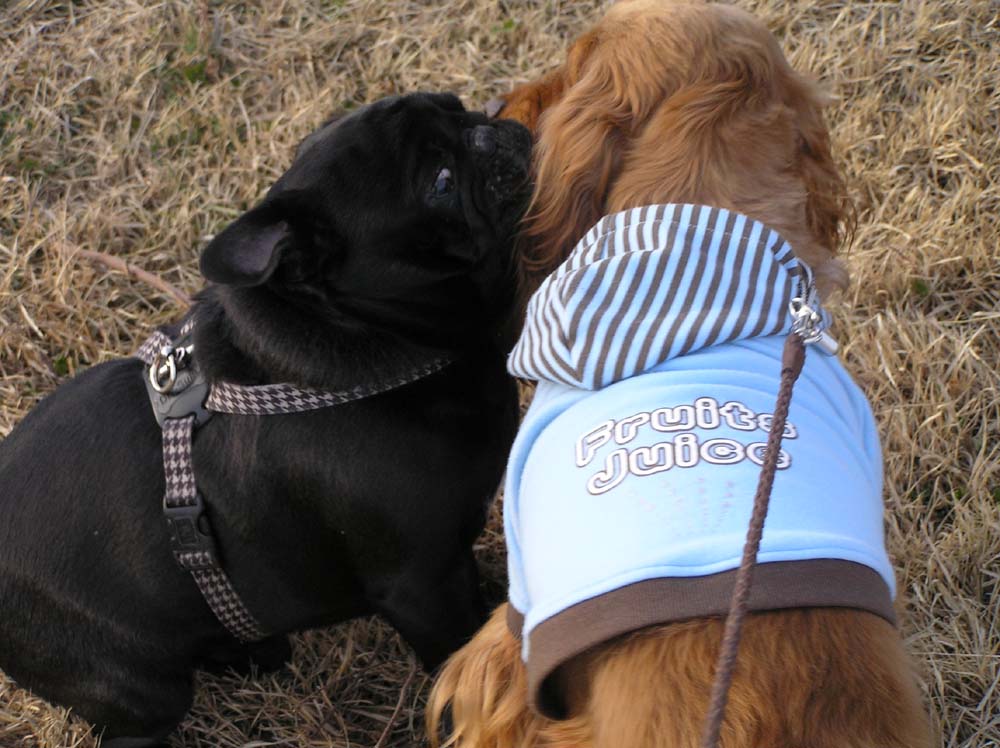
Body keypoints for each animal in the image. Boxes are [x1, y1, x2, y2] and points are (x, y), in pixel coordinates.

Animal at [0, 92, 531, 747]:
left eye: (454, 107)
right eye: (441, 182)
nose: (489, 126)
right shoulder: (424, 585)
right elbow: (461, 658)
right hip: (138, 688)